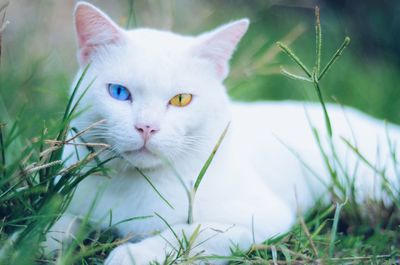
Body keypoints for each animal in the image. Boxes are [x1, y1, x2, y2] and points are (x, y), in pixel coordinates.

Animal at [46, 2, 396, 264]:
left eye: (181, 99)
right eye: (119, 92)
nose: (146, 127)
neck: (131, 184)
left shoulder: (262, 217)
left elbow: (189, 232)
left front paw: (134, 255)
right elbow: (59, 219)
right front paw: (44, 238)